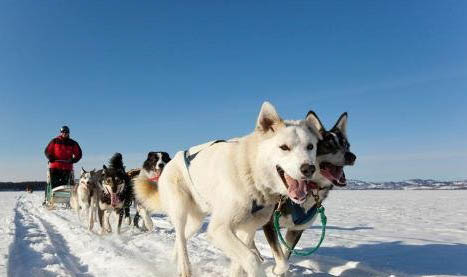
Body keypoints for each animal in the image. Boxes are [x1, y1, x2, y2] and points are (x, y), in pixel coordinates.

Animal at [135, 102, 326, 276]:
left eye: (310, 147)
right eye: (284, 147)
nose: (309, 169)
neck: (251, 173)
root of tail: (170, 161)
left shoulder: (248, 229)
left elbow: (240, 262)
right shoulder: (218, 229)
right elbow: (252, 258)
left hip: (196, 221)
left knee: (179, 238)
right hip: (180, 208)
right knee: (181, 239)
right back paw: (184, 268)